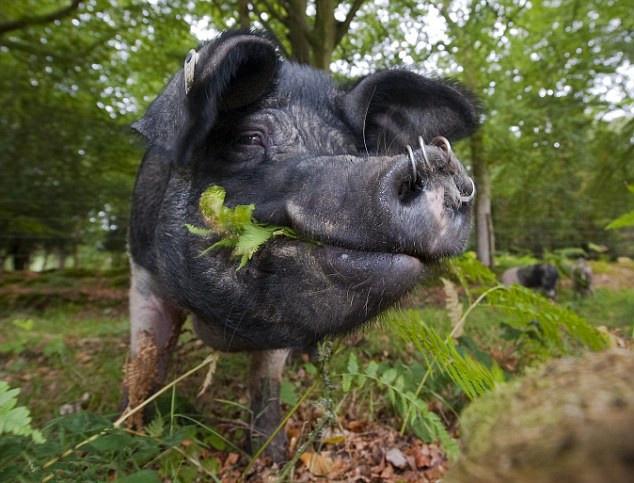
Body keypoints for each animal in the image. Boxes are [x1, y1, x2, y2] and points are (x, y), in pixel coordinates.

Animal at [126, 29, 476, 462]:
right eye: (247, 138)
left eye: (352, 151)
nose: (437, 161)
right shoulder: (142, 271)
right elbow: (145, 361)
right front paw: (132, 434)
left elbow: (267, 381)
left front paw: (272, 458)